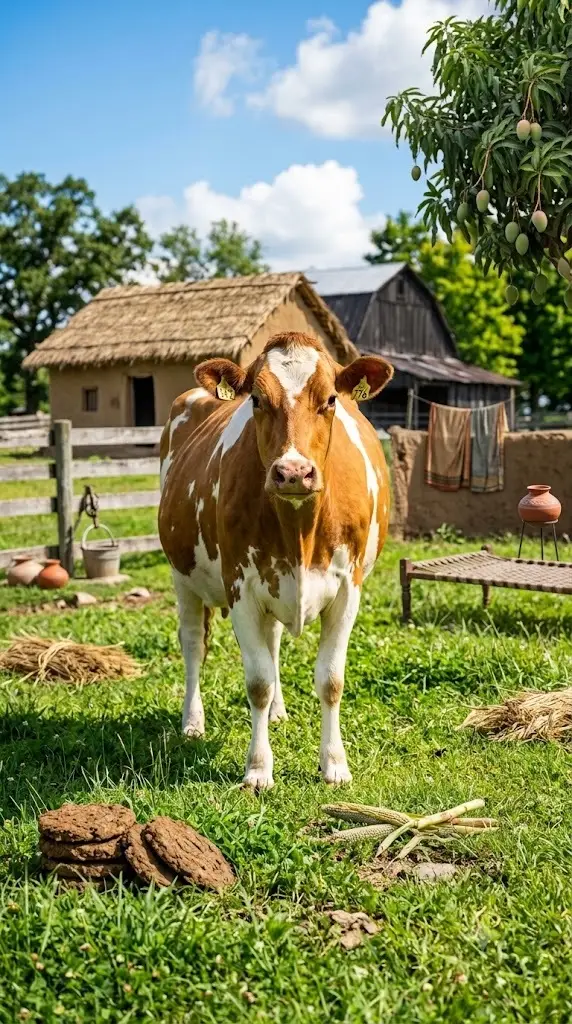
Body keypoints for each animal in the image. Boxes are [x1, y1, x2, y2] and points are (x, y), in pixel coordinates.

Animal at [159, 331, 393, 790]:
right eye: (256, 399)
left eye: (331, 399)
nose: (293, 472)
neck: (298, 528)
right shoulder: (241, 588)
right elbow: (258, 683)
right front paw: (258, 768)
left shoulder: (348, 589)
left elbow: (330, 680)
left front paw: (334, 763)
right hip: (183, 575)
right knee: (193, 644)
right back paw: (193, 722)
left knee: (274, 641)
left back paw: (279, 713)